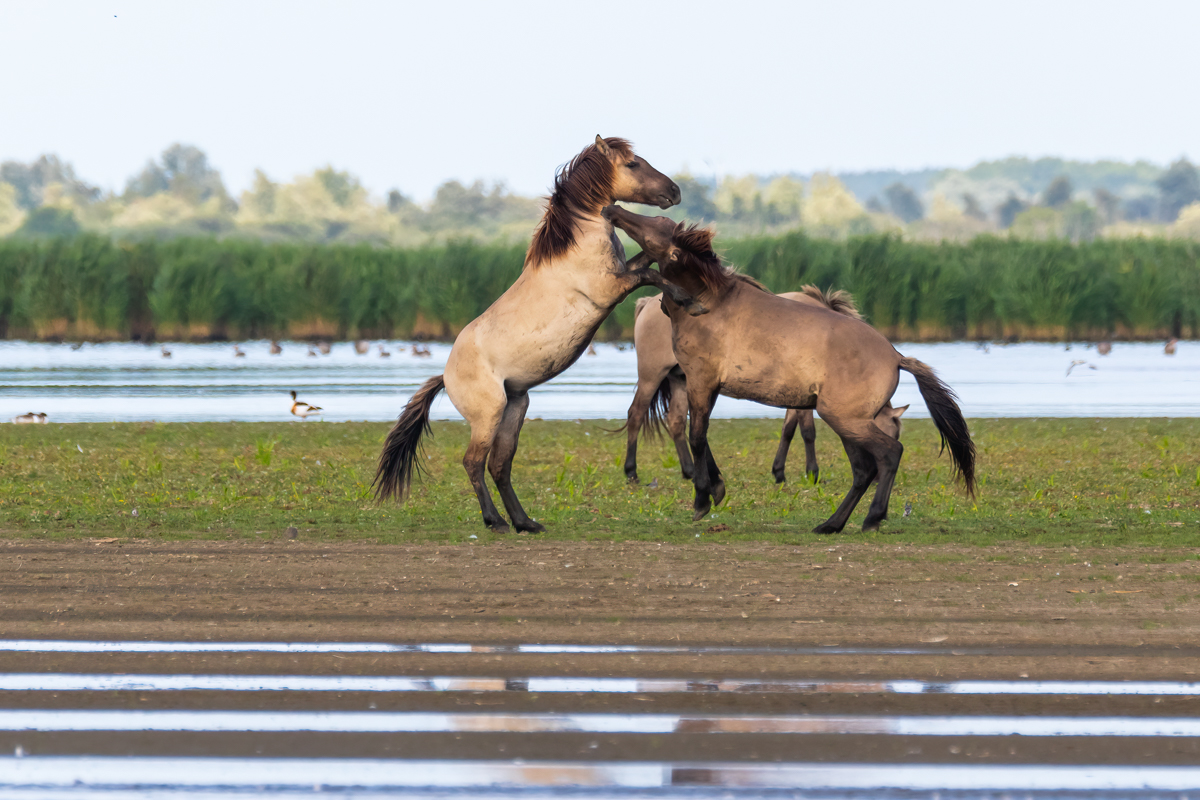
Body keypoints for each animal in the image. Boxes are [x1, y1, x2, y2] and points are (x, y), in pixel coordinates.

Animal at [369, 139, 700, 532]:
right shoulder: (611, 289)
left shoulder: (620, 275)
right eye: (633, 164)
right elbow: (650, 275)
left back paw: (525, 521)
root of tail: (445, 377)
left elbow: (645, 262)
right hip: (489, 416)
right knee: (473, 463)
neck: (578, 241)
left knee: (500, 466)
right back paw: (495, 521)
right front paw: (685, 296)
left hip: (516, 407)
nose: (674, 192)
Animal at [619, 287, 864, 489]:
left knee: (676, 421)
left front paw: (779, 472)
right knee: (636, 415)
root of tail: (648, 302)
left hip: (680, 380)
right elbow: (808, 432)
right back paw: (631, 472)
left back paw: (690, 472)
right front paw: (812, 473)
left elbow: (788, 430)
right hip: (652, 376)